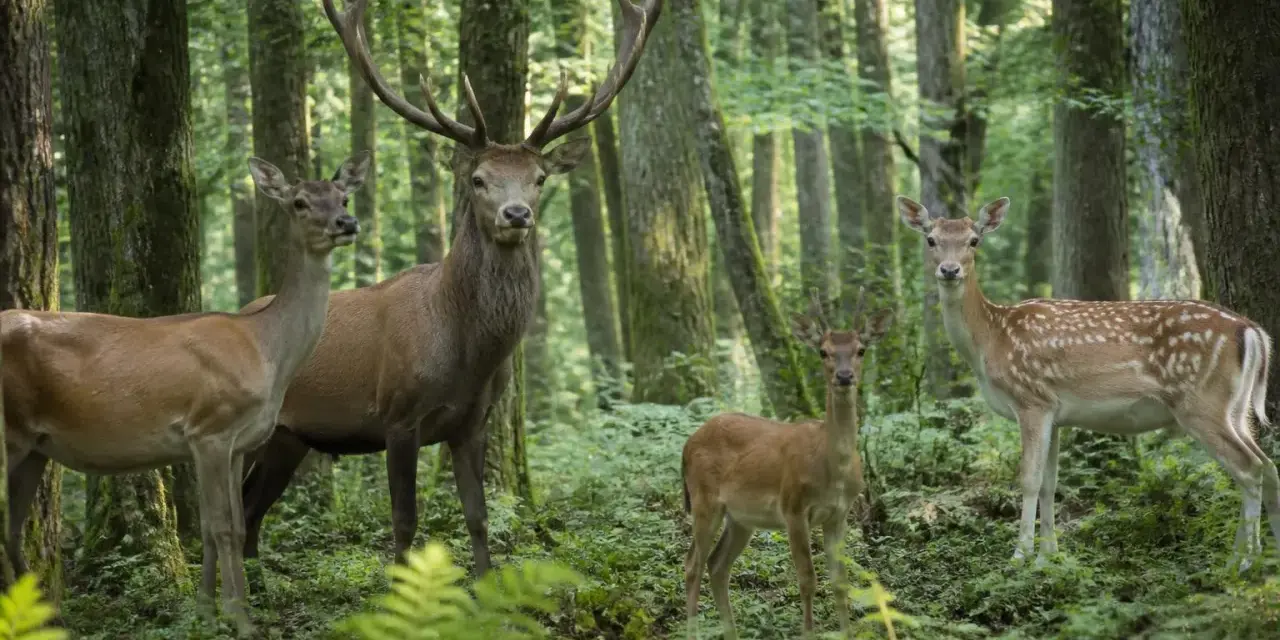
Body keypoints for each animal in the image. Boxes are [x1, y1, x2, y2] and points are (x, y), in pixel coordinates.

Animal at [1, 154, 367, 634]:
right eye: (300, 202)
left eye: (344, 197)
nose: (347, 223)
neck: (266, 351)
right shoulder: (211, 427)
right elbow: (224, 527)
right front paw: (241, 619)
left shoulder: (235, 442)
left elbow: (223, 527)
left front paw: (206, 614)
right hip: (9, 433)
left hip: (34, 446)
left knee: (10, 530)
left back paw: (47, 620)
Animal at [236, 0, 662, 578]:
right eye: (478, 180)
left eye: (539, 179)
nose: (517, 214)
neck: (467, 352)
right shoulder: (397, 417)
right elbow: (404, 523)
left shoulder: (472, 423)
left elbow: (478, 515)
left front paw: (485, 583)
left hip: (288, 438)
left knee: (252, 507)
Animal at [681, 289, 893, 639]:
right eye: (823, 351)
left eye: (861, 349)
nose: (844, 376)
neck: (831, 468)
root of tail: (687, 445)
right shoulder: (793, 507)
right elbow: (807, 579)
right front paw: (808, 632)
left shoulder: (839, 514)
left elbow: (840, 583)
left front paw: (846, 632)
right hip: (703, 501)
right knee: (692, 565)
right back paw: (693, 630)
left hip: (740, 518)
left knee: (717, 565)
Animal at [897, 194, 1280, 572]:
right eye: (931, 239)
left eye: (974, 240)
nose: (949, 270)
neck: (990, 339)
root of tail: (1252, 330)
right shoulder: (1054, 412)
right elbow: (1050, 483)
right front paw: (1049, 556)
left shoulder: (1031, 399)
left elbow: (1029, 479)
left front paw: (1020, 557)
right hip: (1236, 408)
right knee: (1268, 465)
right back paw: (1265, 555)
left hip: (1201, 402)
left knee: (1249, 469)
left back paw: (1243, 561)